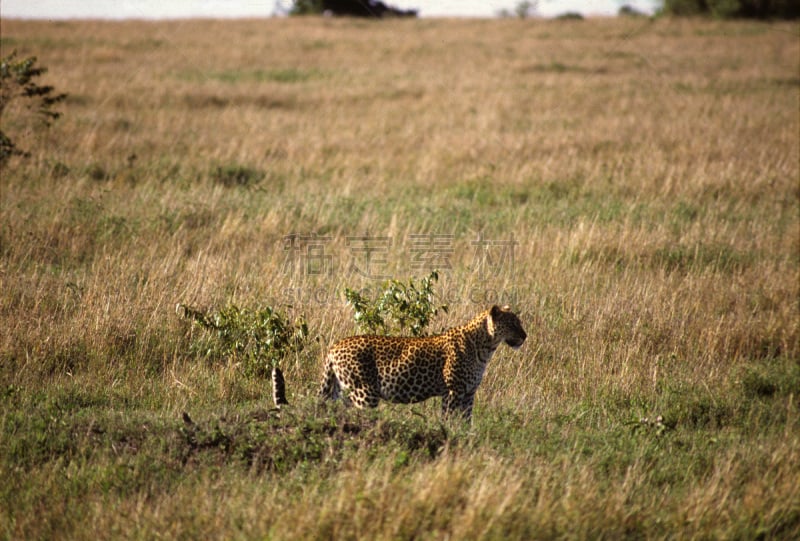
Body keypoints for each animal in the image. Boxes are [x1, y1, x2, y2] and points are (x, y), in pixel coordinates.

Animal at [318, 304, 524, 418]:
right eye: (513, 324)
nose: (525, 336)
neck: (486, 348)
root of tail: (334, 346)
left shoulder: (468, 394)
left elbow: (466, 421)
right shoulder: (453, 391)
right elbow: (449, 419)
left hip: (340, 390)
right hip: (364, 393)